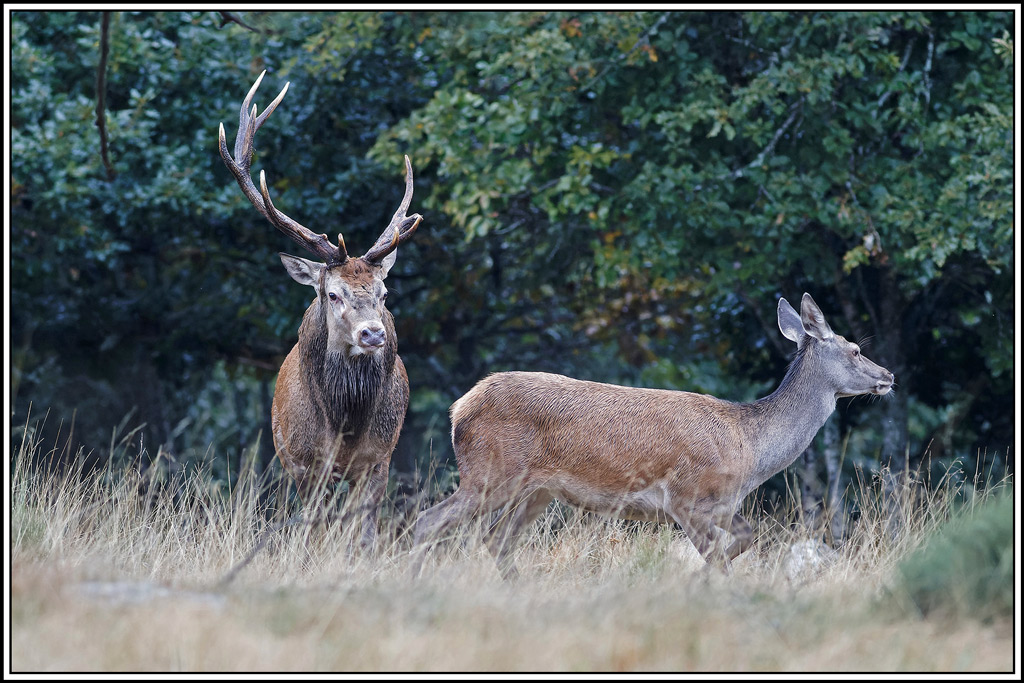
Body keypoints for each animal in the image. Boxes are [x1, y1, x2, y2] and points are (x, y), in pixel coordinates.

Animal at [218, 71, 422, 549]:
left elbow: (363, 534)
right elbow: (315, 532)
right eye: (332, 294)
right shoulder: (304, 462)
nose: (373, 334)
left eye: (385, 293)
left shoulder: (379, 457)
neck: (342, 427)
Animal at [410, 293, 894, 578]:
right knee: (429, 521)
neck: (751, 447)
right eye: (855, 349)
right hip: (490, 471)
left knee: (495, 540)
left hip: (535, 490)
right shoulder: (686, 497)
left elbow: (744, 540)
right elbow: (721, 552)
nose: (888, 376)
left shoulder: (723, 504)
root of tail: (460, 408)